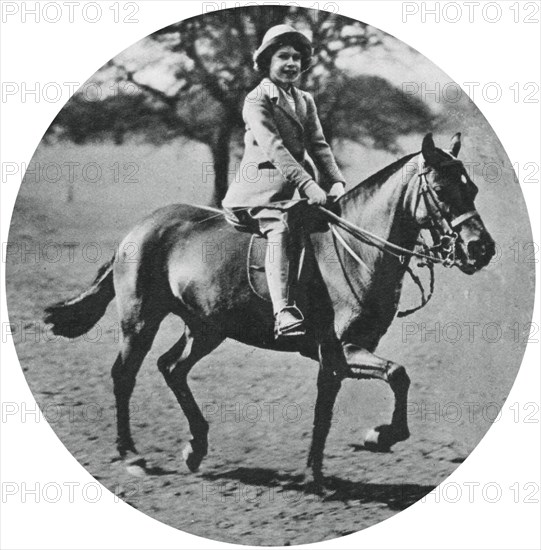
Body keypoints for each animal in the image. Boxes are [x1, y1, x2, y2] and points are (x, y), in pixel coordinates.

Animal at [45, 134, 494, 488]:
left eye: (471, 190)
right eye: (441, 189)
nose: (481, 249)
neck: (357, 250)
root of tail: (138, 230)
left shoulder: (338, 358)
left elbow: (332, 408)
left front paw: (318, 471)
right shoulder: (341, 350)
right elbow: (396, 376)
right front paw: (376, 438)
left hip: (206, 328)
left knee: (172, 368)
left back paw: (195, 447)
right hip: (140, 320)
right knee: (124, 375)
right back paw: (132, 455)